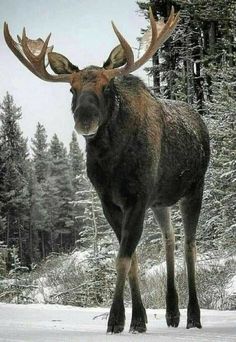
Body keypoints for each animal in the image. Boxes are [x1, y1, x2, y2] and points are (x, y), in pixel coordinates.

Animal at [4, 7, 210, 334]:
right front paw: (137, 319)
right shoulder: (109, 201)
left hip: (195, 188)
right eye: (72, 89)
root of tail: (201, 122)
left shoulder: (137, 198)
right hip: (161, 201)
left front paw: (117, 320)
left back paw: (193, 316)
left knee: (190, 245)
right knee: (170, 239)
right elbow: (133, 257)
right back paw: (172, 313)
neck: (111, 163)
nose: (84, 120)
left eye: (106, 87)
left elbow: (122, 258)